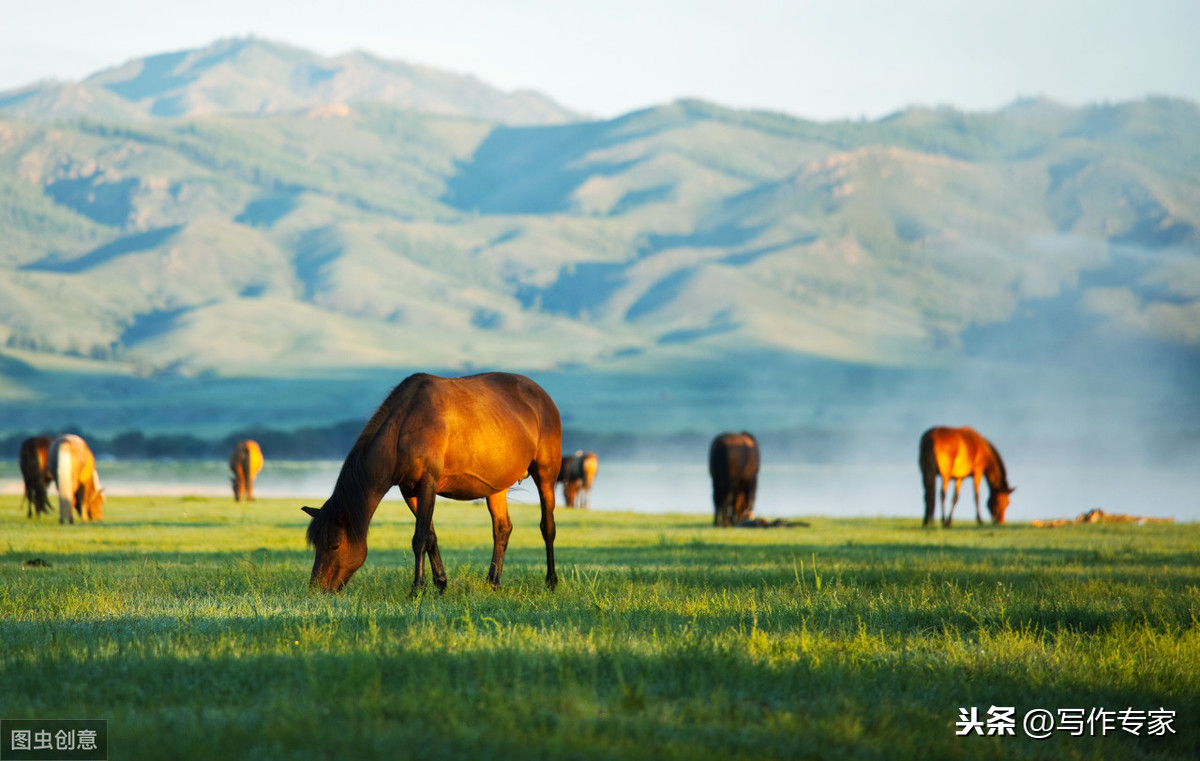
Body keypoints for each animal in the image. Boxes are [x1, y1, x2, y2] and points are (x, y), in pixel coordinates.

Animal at [300, 372, 561, 592]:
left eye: (335, 545)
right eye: (316, 544)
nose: (316, 588)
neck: (403, 426)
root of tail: (542, 396)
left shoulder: (428, 485)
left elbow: (420, 538)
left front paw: (418, 588)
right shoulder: (410, 491)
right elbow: (431, 536)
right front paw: (441, 582)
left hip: (546, 475)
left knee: (547, 527)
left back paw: (551, 581)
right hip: (497, 487)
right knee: (502, 529)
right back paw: (493, 582)